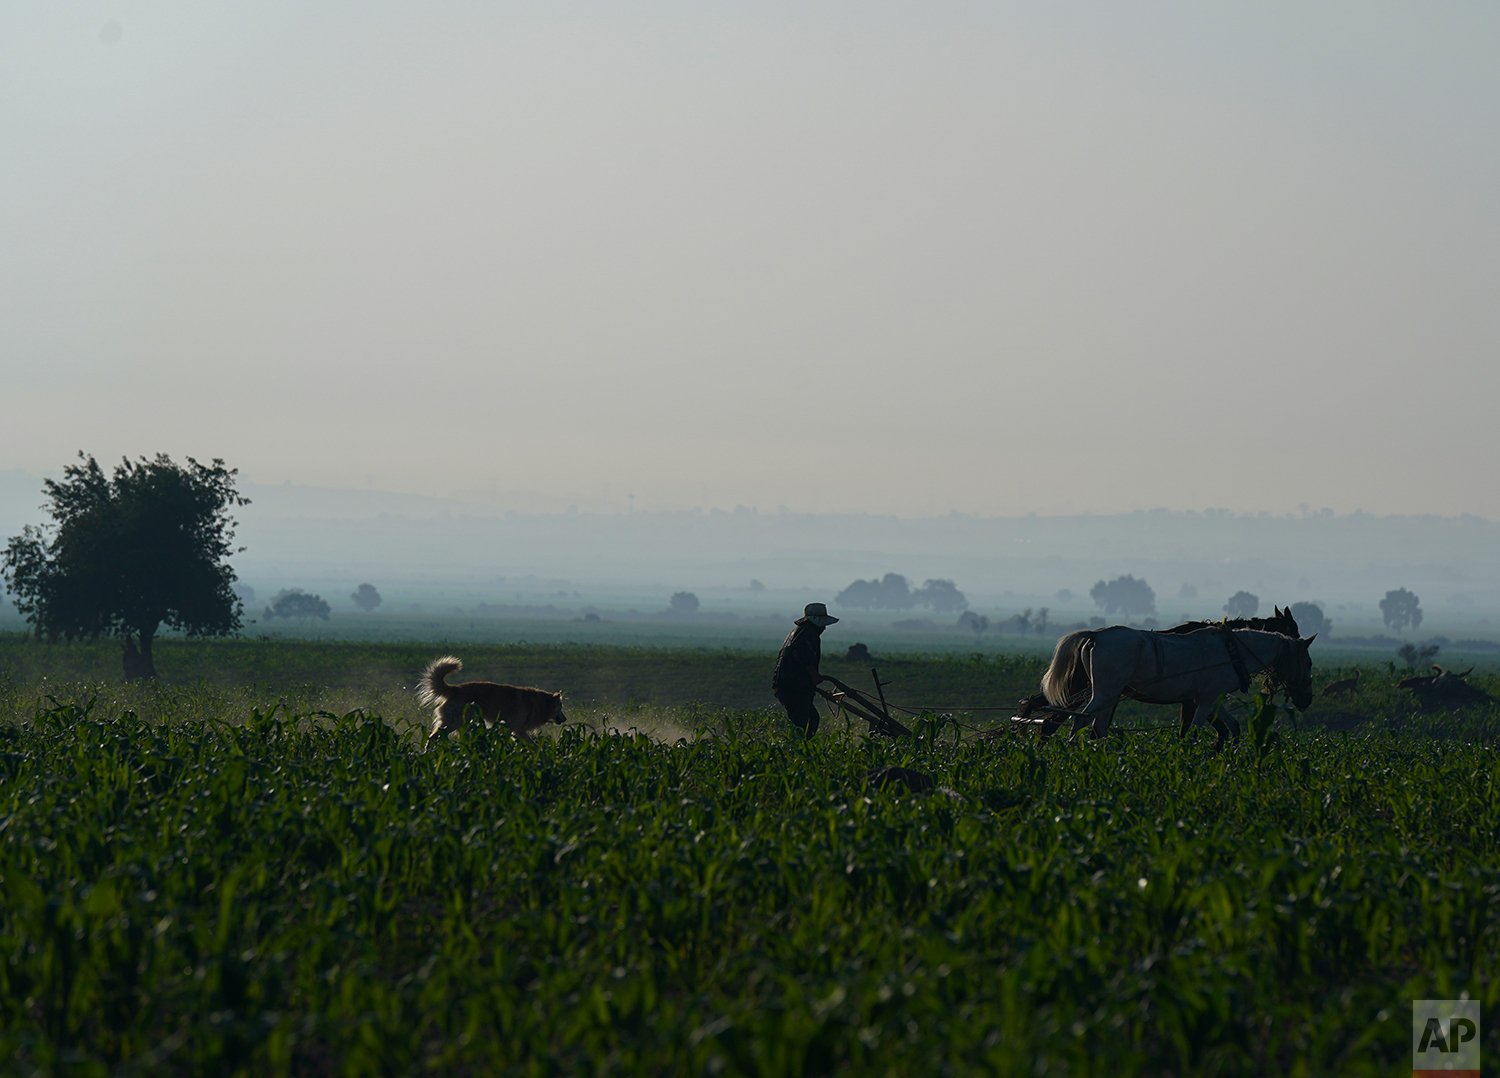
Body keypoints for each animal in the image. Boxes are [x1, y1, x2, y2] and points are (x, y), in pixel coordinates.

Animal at [417, 656, 567, 749]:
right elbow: (532, 744)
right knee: (433, 737)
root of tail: (454, 689)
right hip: (455, 722)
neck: (537, 703)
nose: (565, 719)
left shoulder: (517, 730)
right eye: (560, 707)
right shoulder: (513, 728)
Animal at [1044, 620, 1314, 746]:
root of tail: (1097, 635)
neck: (1232, 651)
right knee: (1080, 720)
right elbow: (1193, 731)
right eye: (1309, 662)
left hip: (1110, 695)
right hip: (1105, 692)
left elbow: (1233, 727)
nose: (1306, 700)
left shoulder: (1211, 699)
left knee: (1096, 726)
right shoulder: (1205, 699)